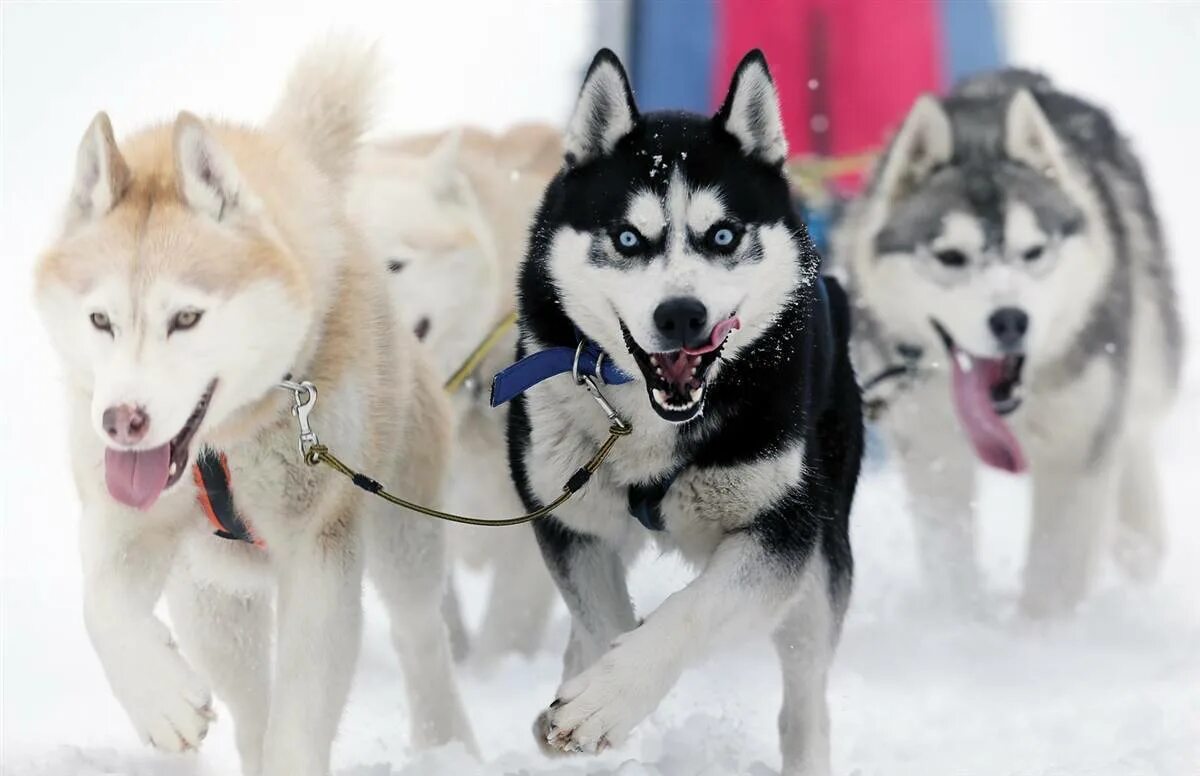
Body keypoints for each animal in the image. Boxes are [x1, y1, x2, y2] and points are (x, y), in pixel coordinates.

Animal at [31, 44, 472, 776]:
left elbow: (301, 718)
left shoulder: (320, 552)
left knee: (420, 634)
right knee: (250, 709)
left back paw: (449, 743)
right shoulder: (124, 517)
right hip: (213, 601)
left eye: (186, 318)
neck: (226, 444)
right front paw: (162, 701)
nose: (123, 420)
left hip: (403, 534)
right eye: (100, 320)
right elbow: (102, 608)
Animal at [504, 51, 864, 772]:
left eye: (722, 235)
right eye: (627, 238)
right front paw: (591, 698)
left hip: (822, 564)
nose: (681, 315)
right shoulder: (567, 519)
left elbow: (691, 612)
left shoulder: (781, 533)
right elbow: (604, 619)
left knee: (805, 703)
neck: (654, 426)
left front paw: (608, 697)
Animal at [840, 71, 1185, 618]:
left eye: (1033, 251)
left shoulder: (1076, 447)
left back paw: (1138, 543)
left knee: (1135, 436)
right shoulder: (933, 452)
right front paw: (963, 624)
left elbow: (1054, 572)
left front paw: (1037, 635)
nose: (1010, 321)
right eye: (951, 256)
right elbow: (949, 557)